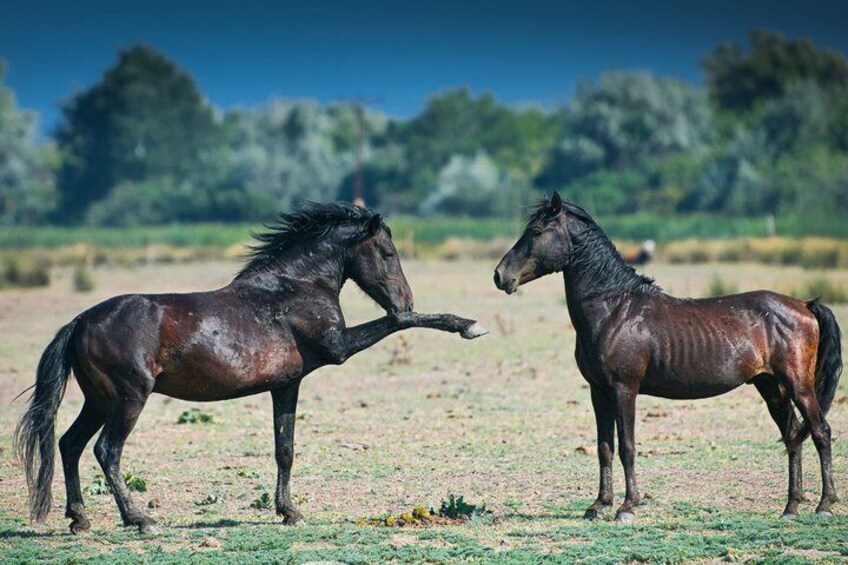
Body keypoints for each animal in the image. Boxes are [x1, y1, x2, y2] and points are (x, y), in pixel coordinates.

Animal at [15, 202, 487, 534]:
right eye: (387, 253)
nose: (405, 298)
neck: (294, 288)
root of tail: (80, 321)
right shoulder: (337, 349)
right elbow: (399, 323)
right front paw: (468, 325)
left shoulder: (287, 384)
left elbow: (285, 449)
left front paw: (289, 511)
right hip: (128, 399)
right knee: (106, 451)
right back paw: (139, 520)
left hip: (99, 400)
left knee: (70, 444)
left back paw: (79, 520)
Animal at [494, 192, 841, 522]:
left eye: (536, 232)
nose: (500, 276)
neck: (614, 309)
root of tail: (805, 304)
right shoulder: (598, 391)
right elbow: (605, 448)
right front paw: (599, 505)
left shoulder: (624, 389)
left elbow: (627, 447)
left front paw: (627, 507)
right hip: (770, 386)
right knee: (792, 436)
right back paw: (790, 508)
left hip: (797, 384)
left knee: (820, 431)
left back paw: (824, 505)